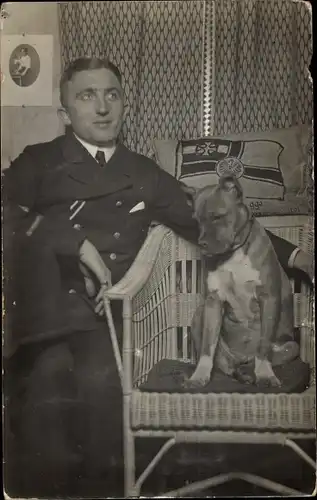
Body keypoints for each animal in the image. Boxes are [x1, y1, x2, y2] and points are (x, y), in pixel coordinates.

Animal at [181, 176, 298, 390]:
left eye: (217, 217)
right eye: (196, 221)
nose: (202, 244)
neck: (233, 253)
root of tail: (240, 359)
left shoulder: (268, 299)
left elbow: (263, 345)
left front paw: (265, 374)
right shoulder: (213, 302)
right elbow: (207, 348)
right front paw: (199, 376)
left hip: (292, 346)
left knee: (262, 357)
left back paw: (249, 372)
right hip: (199, 314)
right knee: (224, 364)